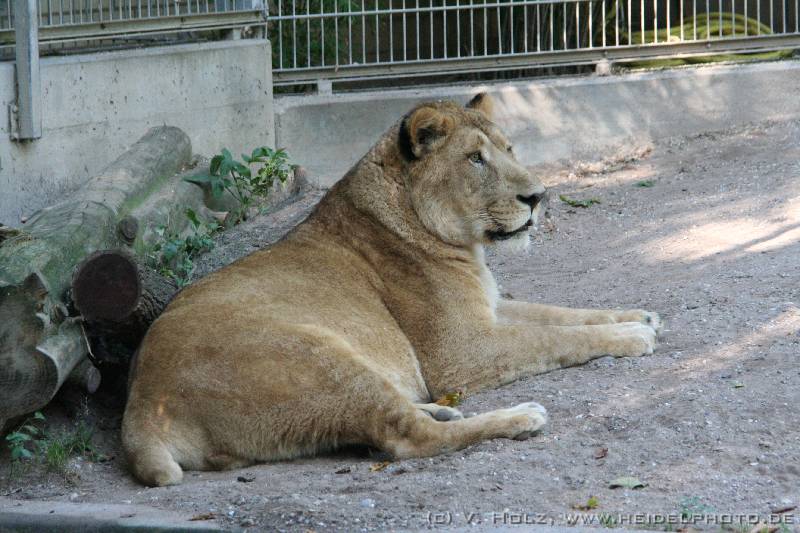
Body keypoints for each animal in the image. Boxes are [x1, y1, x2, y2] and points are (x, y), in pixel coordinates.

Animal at [122, 94, 660, 486]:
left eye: (510, 150)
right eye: (475, 159)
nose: (539, 196)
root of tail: (143, 407)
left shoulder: (485, 313)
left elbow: (561, 313)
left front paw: (639, 315)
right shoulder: (461, 353)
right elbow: (556, 338)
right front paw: (633, 336)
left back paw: (442, 409)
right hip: (321, 357)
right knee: (408, 439)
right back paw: (519, 417)